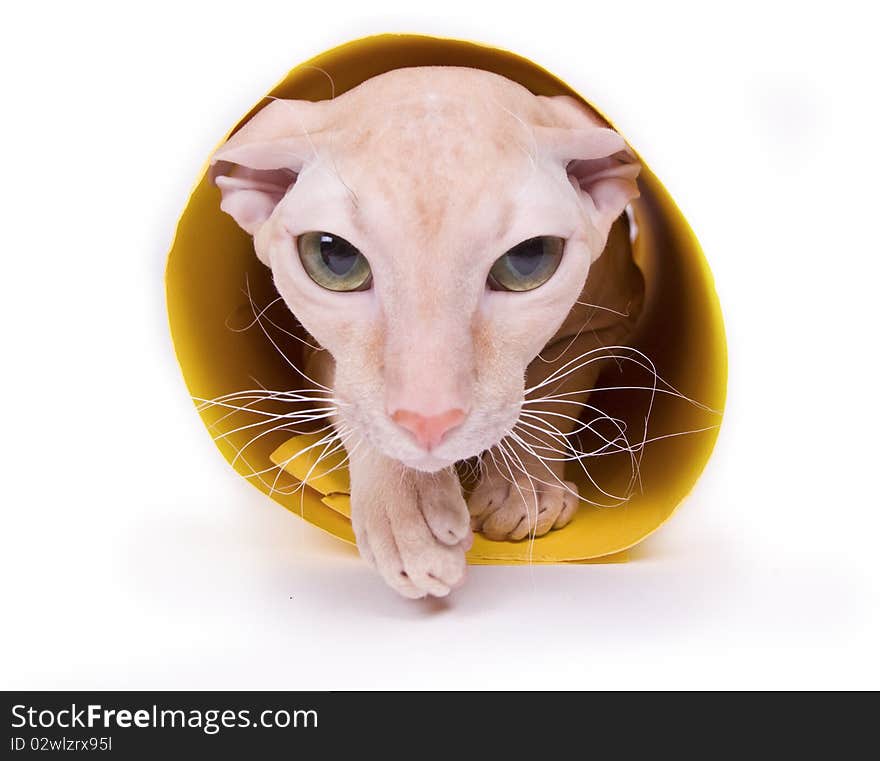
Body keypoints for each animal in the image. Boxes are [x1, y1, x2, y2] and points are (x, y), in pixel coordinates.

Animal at [210, 65, 644, 596]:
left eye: (530, 258)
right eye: (335, 258)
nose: (429, 420)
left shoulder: (614, 316)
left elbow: (557, 387)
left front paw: (522, 488)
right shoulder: (321, 353)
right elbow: (355, 405)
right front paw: (410, 517)